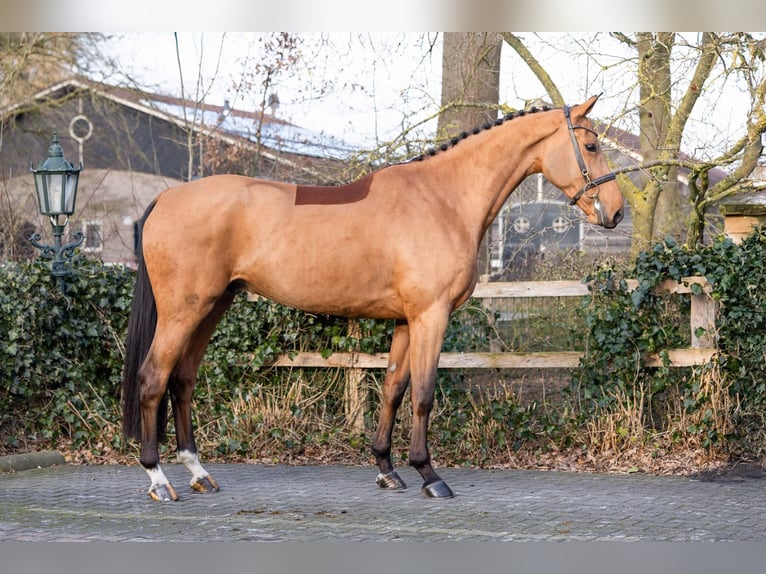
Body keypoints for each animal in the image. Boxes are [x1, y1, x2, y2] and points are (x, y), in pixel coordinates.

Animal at [122, 94, 624, 501]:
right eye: (592, 146)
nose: (616, 212)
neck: (442, 199)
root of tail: (167, 198)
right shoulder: (431, 316)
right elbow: (423, 394)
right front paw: (429, 475)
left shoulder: (406, 320)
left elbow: (393, 389)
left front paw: (387, 469)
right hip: (183, 311)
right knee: (153, 378)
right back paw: (158, 479)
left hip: (212, 307)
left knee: (182, 380)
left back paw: (198, 472)